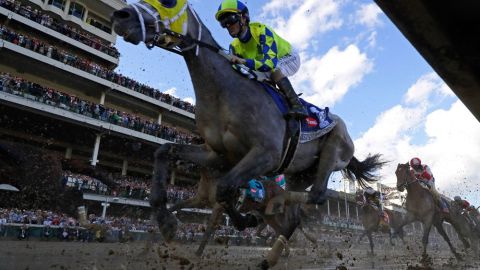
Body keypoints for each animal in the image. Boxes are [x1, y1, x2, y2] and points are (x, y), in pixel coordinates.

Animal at [110, 1, 384, 264]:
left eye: (168, 3)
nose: (121, 16)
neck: (223, 92)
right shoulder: (216, 154)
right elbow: (165, 151)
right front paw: (166, 221)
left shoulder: (266, 155)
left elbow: (224, 189)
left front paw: (245, 219)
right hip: (299, 173)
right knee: (294, 212)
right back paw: (273, 244)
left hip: (332, 151)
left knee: (315, 196)